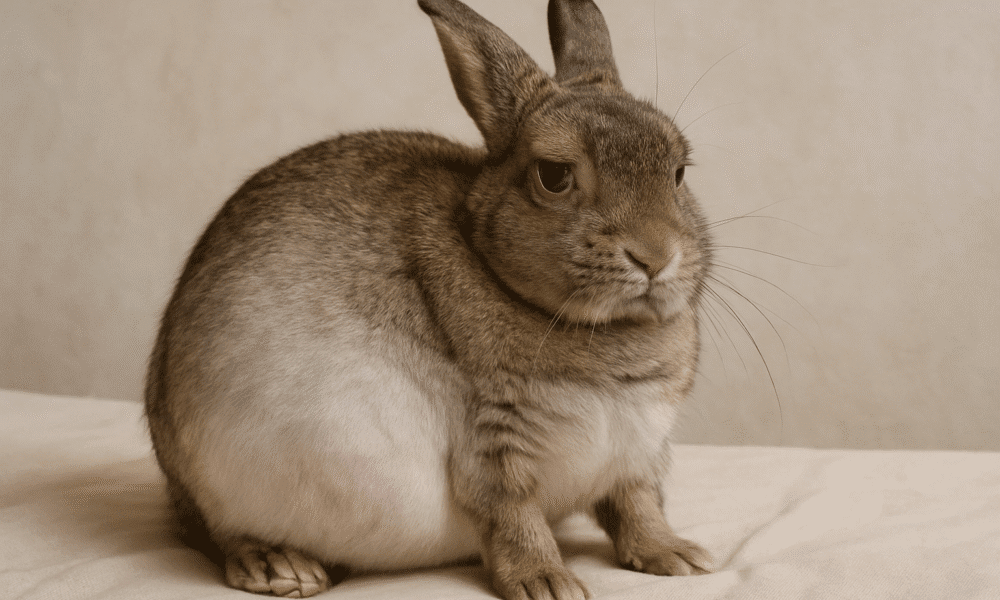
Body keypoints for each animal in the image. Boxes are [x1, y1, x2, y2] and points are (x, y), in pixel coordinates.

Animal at [144, 0, 714, 598]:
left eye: (678, 172)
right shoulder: (491, 444)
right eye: (554, 175)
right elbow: (514, 517)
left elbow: (638, 508)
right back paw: (279, 566)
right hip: (214, 475)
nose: (655, 257)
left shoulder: (637, 457)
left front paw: (678, 557)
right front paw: (547, 582)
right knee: (216, 535)